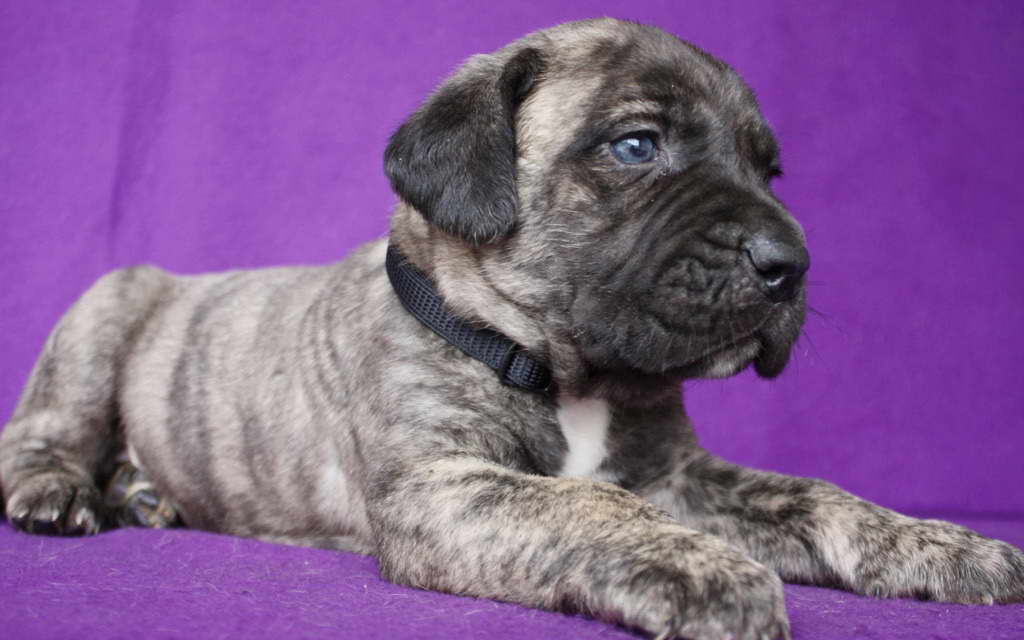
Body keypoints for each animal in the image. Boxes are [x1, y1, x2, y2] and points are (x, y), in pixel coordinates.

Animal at [2, 18, 1024, 638]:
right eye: (636, 146)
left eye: (769, 173)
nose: (790, 264)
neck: (560, 370)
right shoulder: (441, 486)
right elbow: (583, 504)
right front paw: (704, 567)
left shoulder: (679, 476)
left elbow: (811, 493)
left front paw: (938, 544)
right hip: (105, 311)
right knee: (42, 433)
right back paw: (66, 493)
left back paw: (144, 493)